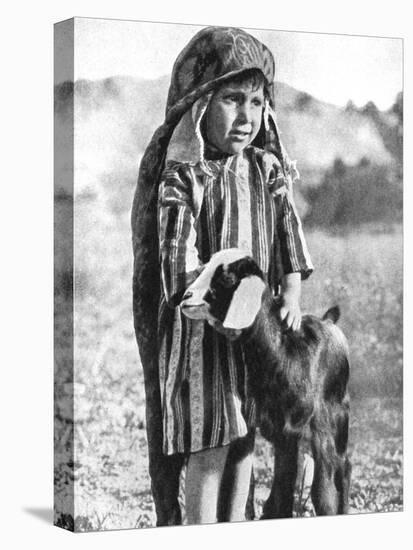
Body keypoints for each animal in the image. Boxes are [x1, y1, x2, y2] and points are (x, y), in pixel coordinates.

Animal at [181, 248, 350, 520]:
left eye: (227, 278)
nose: (186, 297)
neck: (285, 354)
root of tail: (329, 321)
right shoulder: (279, 430)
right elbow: (282, 486)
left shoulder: (315, 428)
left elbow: (322, 490)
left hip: (339, 413)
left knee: (343, 466)